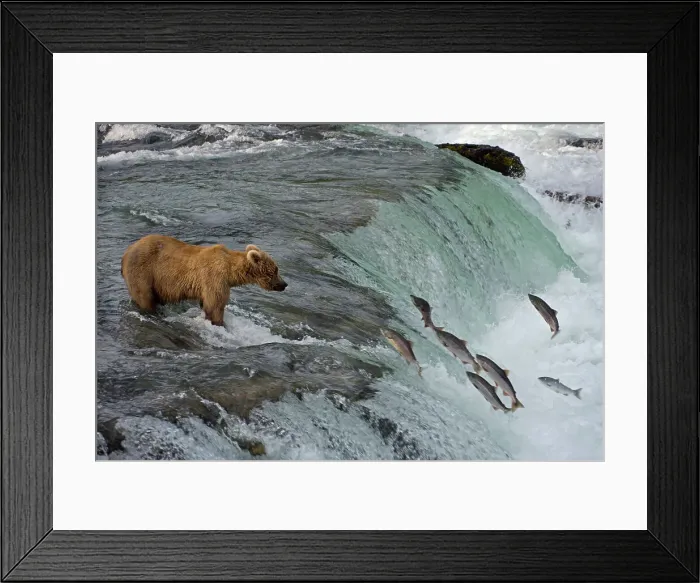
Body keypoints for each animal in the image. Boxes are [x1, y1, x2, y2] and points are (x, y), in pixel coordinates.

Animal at [120, 234, 287, 326]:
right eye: (275, 270)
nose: (284, 284)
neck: (230, 272)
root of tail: (127, 251)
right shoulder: (215, 279)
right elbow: (215, 306)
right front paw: (219, 324)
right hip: (144, 272)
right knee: (144, 296)